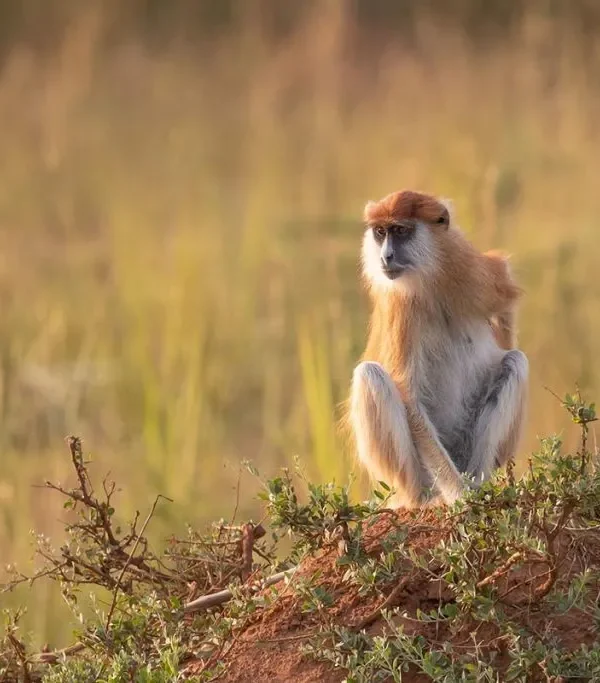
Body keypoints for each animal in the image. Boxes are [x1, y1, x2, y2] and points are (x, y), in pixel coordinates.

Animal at [349, 189, 528, 508]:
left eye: (400, 231)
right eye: (380, 232)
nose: (386, 256)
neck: (430, 278)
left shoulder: (468, 269)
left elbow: (503, 288)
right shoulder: (400, 304)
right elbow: (409, 398)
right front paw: (459, 496)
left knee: (515, 362)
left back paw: (479, 484)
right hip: (412, 476)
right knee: (370, 375)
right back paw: (425, 500)